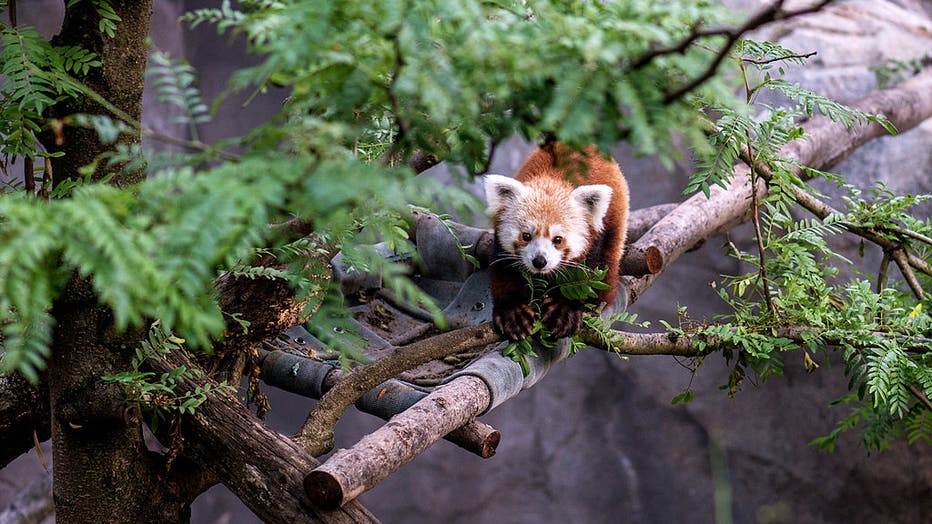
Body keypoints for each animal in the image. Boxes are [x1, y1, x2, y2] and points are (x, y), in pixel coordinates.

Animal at [484, 142, 629, 341]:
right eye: (526, 236)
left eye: (558, 239)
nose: (539, 261)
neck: (552, 179)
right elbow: (504, 272)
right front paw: (512, 311)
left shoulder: (595, 241)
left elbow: (585, 275)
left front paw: (564, 308)